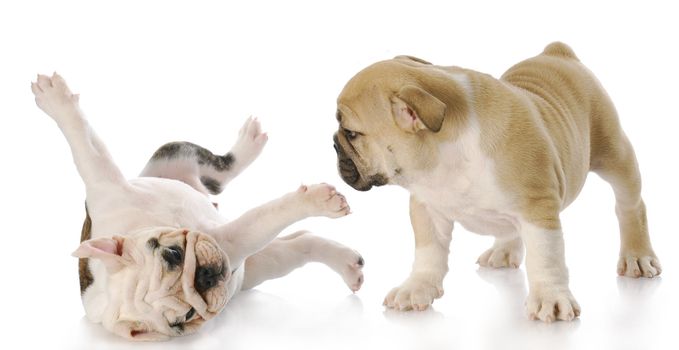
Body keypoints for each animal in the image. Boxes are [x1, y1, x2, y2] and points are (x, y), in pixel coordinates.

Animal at [30, 72, 366, 340]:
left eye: (172, 255)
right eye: (185, 318)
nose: (205, 277)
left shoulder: (105, 186)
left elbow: (87, 147)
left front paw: (57, 100)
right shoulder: (231, 243)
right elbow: (263, 218)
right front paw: (316, 201)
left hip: (175, 154)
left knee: (221, 168)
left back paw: (249, 142)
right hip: (258, 265)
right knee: (296, 244)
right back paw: (347, 264)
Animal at [334, 42, 664, 322]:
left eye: (351, 133)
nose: (334, 144)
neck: (449, 152)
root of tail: (557, 53)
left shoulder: (538, 209)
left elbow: (546, 257)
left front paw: (550, 298)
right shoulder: (426, 206)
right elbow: (428, 253)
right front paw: (416, 287)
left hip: (614, 153)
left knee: (630, 205)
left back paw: (637, 256)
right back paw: (503, 250)